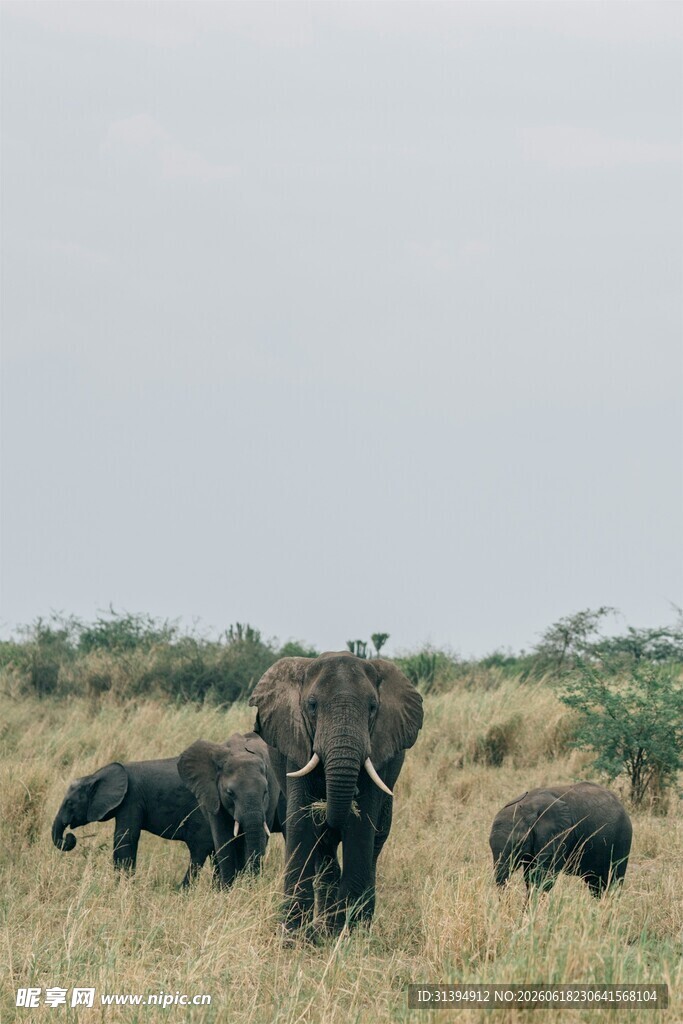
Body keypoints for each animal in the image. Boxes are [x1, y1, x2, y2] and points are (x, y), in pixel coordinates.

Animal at [51, 757, 215, 886]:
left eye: (70, 804)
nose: (69, 837)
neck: (95, 775)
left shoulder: (131, 799)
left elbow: (125, 837)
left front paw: (122, 887)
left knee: (198, 850)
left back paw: (182, 890)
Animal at [177, 732, 284, 887]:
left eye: (265, 792)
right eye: (230, 793)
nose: (253, 884)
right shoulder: (213, 794)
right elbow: (223, 839)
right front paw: (226, 889)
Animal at [248, 652, 423, 937]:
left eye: (373, 707)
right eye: (312, 705)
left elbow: (360, 827)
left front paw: (345, 935)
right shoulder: (297, 744)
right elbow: (301, 824)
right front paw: (294, 938)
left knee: (374, 846)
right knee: (324, 849)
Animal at [489, 782, 633, 898]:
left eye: (520, 844)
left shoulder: (559, 834)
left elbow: (544, 876)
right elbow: (530, 876)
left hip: (623, 837)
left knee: (614, 880)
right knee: (595, 883)